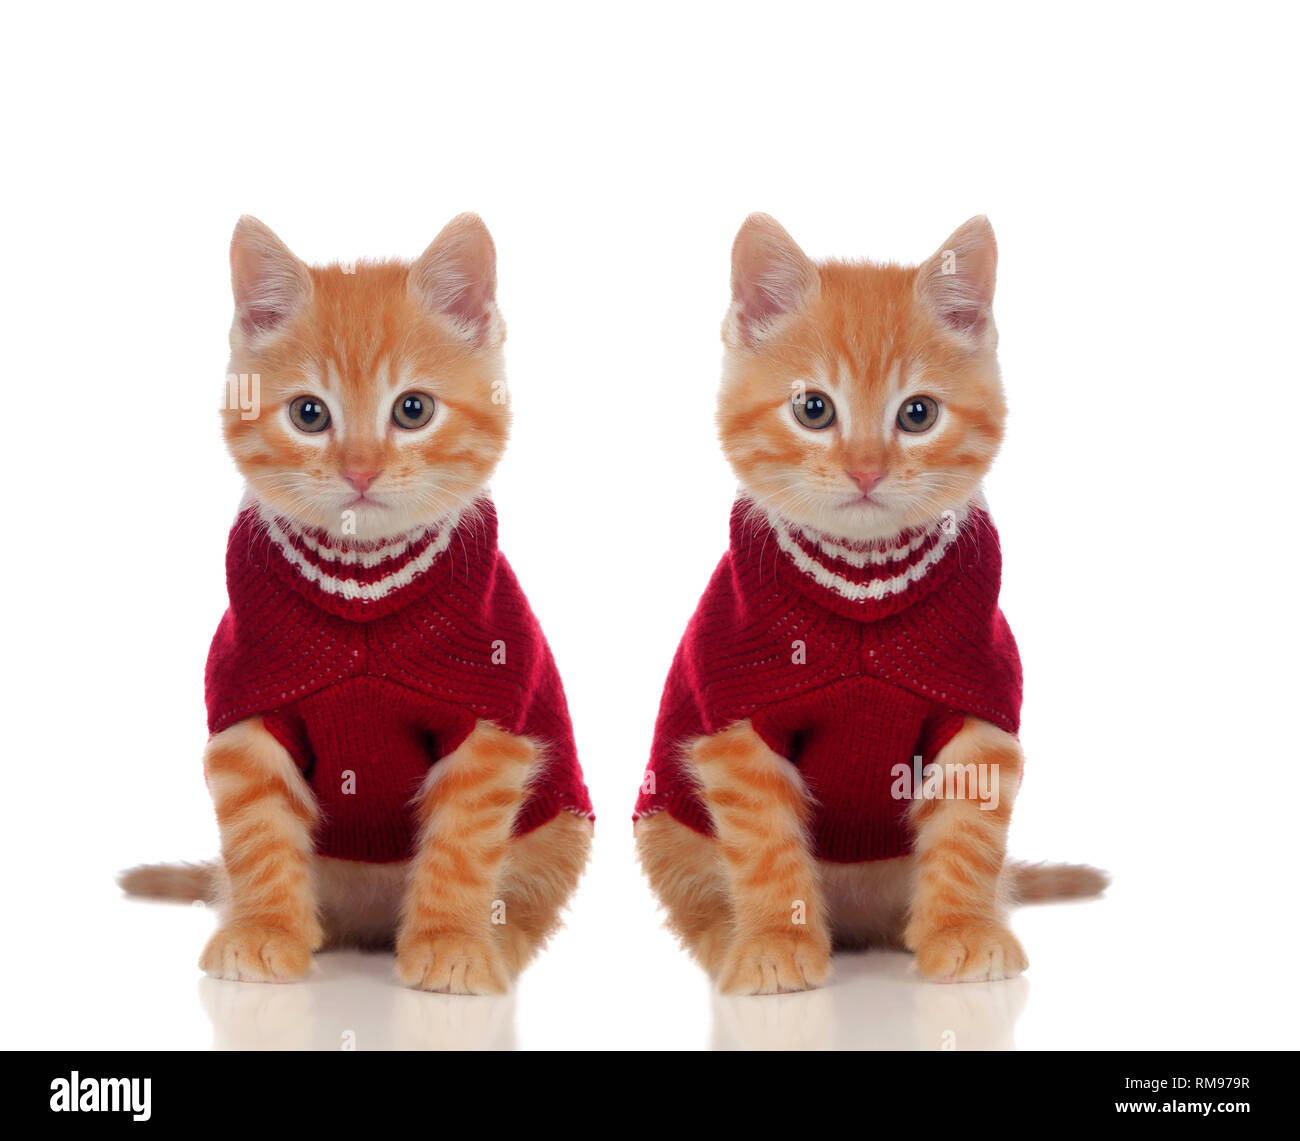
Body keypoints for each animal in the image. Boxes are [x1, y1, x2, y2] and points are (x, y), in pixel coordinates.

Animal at [120, 218, 590, 998]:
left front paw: (450, 942)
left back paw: (499, 939)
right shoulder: (250, 707)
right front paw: (264, 931)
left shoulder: (491, 722)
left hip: (560, 824)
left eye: (413, 409)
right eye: (310, 414)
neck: (364, 589)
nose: (361, 470)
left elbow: (464, 844)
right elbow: (257, 830)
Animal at [634, 211, 1102, 992]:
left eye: (917, 414)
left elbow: (969, 833)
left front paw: (961, 930)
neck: (862, 591)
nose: (865, 469)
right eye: (812, 408)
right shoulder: (737, 722)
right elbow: (762, 843)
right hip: (667, 822)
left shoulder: (975, 706)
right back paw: (728, 937)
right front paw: (776, 941)